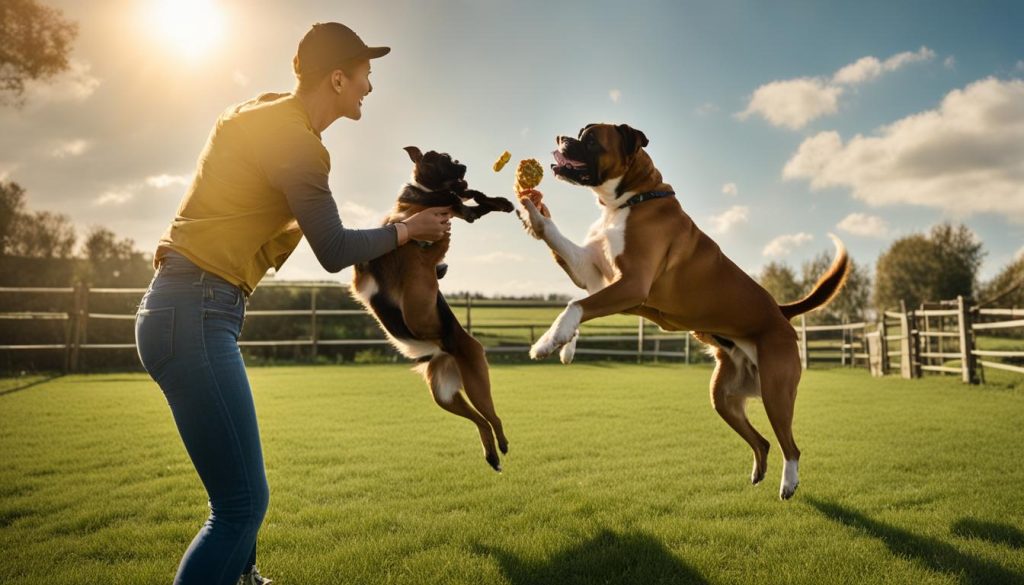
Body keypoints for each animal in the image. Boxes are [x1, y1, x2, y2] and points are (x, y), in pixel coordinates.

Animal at [352, 145, 512, 471]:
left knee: (492, 416)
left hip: (475, 382)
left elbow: (470, 203)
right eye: (442, 160)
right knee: (481, 421)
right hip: (444, 395)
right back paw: (491, 455)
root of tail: (444, 352)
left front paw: (499, 201)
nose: (462, 164)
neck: (427, 195)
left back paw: (500, 446)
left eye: (453, 159)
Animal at [520, 123, 847, 499]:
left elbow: (575, 306)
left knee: (790, 446)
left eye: (590, 140)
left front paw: (547, 342)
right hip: (723, 398)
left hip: (777, 394)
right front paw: (532, 212)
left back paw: (788, 483)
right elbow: (557, 247)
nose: (561, 139)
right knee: (762, 442)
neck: (631, 199)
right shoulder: (592, 273)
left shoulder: (630, 284)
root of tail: (780, 312)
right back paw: (758, 474)